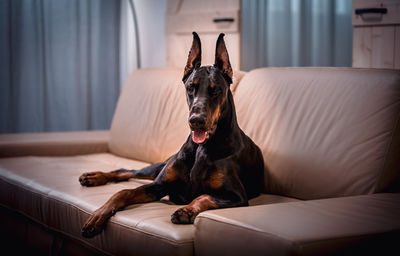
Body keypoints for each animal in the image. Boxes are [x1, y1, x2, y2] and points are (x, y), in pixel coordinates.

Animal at [79, 32, 264, 238]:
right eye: (191, 87)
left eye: (215, 89)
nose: (196, 120)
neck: (201, 148)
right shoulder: (159, 185)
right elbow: (123, 192)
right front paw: (98, 215)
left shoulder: (237, 196)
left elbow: (204, 196)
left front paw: (187, 210)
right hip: (158, 167)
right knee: (127, 171)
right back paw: (94, 177)